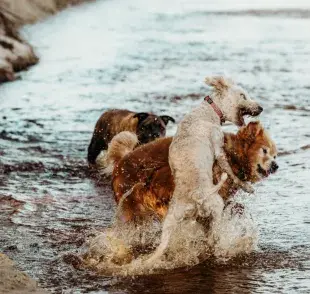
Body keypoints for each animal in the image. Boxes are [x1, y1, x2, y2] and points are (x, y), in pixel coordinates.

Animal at [144, 75, 262, 264]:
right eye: (243, 95)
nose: (260, 108)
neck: (208, 111)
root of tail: (195, 198)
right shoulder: (219, 148)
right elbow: (232, 173)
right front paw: (247, 187)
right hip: (216, 206)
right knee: (215, 235)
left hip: (171, 223)